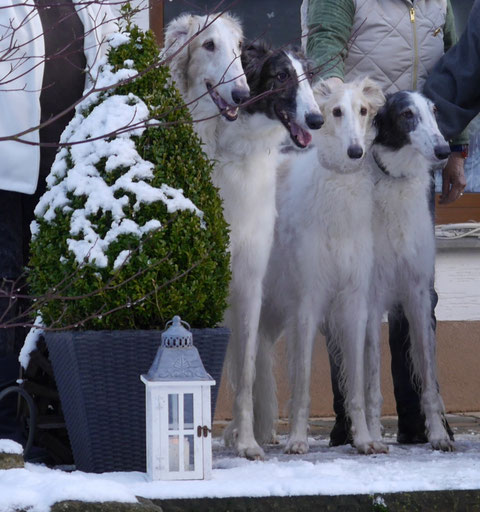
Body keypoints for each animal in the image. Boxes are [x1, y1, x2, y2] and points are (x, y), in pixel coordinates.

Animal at [255, 78, 386, 454]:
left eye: (363, 110)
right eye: (336, 111)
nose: (356, 152)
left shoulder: (354, 302)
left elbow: (355, 385)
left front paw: (365, 439)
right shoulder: (307, 301)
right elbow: (301, 384)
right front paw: (298, 440)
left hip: (270, 310)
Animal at [364, 92, 454, 452]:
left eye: (434, 111)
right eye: (406, 114)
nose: (444, 150)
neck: (396, 180)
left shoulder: (418, 293)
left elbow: (428, 376)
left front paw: (439, 435)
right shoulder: (371, 295)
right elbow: (372, 380)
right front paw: (373, 437)